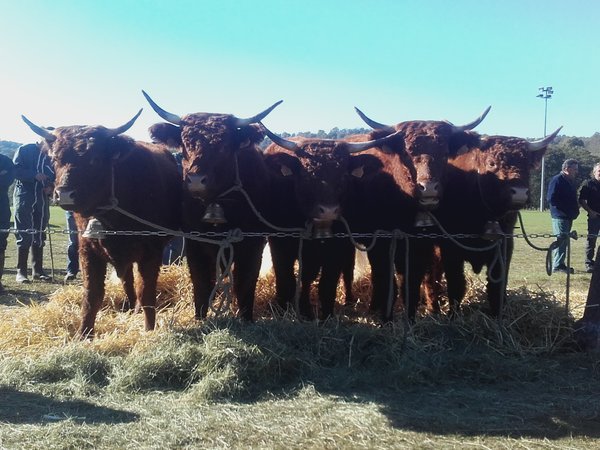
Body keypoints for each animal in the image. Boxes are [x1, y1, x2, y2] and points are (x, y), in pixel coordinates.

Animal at [21, 111, 183, 338]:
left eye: (95, 160)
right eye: (55, 159)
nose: (64, 194)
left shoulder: (151, 252)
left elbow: (147, 292)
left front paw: (149, 330)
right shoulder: (87, 250)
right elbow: (92, 295)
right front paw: (83, 334)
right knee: (127, 280)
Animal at [143, 91, 282, 322]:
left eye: (224, 146)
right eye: (184, 143)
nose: (196, 180)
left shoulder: (253, 243)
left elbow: (246, 282)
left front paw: (246, 318)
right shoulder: (194, 242)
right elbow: (201, 283)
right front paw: (200, 318)